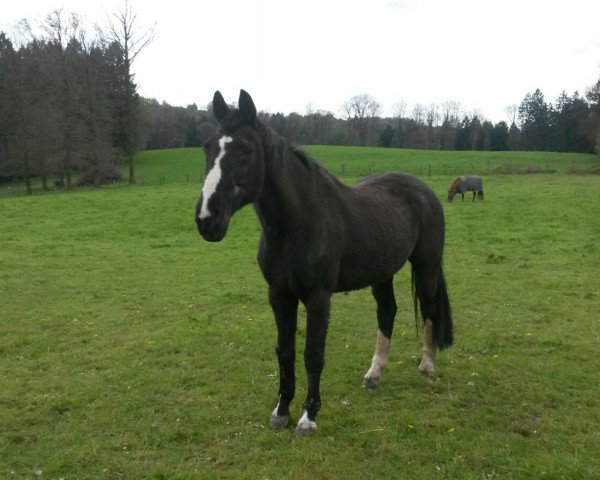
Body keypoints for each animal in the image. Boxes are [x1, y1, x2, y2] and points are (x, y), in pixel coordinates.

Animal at [195, 89, 452, 436]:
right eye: (208, 146)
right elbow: (285, 352)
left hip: (426, 267)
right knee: (387, 311)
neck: (297, 223)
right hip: (382, 274)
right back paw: (374, 374)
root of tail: (424, 190)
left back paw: (426, 365)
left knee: (429, 309)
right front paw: (281, 411)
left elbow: (312, 355)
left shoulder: (318, 298)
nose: (208, 219)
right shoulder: (280, 296)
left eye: (246, 149)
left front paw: (308, 417)